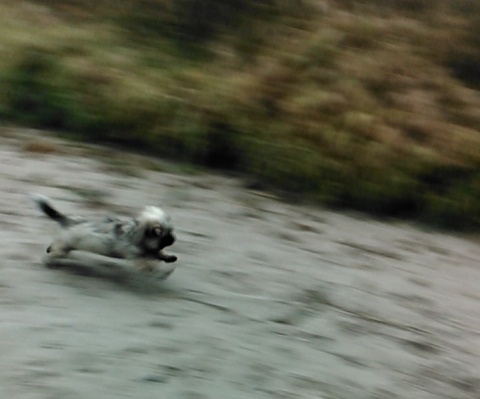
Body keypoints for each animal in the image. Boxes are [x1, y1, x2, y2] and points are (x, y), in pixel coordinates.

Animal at [32, 195, 178, 280]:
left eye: (171, 232)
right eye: (167, 235)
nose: (174, 239)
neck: (139, 232)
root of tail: (67, 220)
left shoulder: (149, 250)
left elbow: (158, 253)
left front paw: (170, 258)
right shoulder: (138, 256)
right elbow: (151, 265)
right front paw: (163, 273)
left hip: (67, 245)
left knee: (56, 246)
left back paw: (50, 252)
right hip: (65, 244)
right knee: (57, 249)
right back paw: (49, 260)